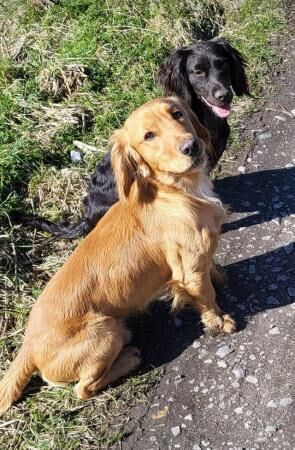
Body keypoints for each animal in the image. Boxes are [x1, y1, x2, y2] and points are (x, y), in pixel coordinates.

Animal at [0, 98, 237, 414]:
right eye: (148, 136)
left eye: (177, 114)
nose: (192, 146)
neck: (177, 191)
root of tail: (27, 347)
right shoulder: (189, 270)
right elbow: (206, 296)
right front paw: (219, 322)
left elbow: (212, 267)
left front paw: (220, 275)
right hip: (105, 332)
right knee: (82, 389)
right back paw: (128, 359)